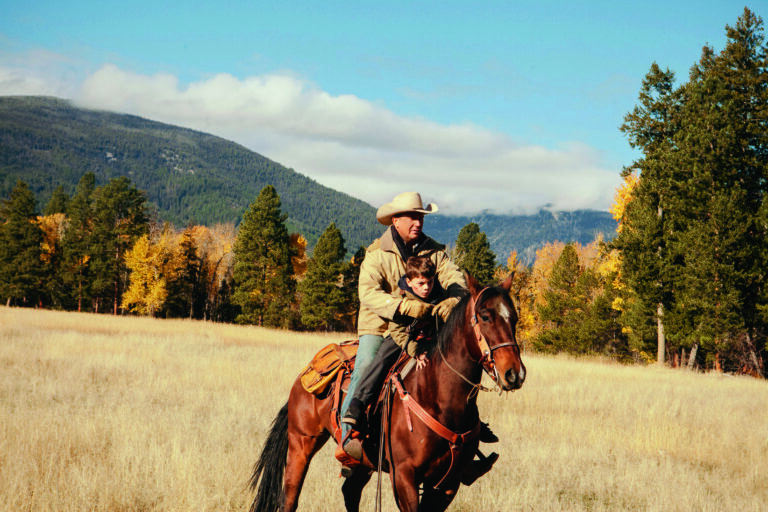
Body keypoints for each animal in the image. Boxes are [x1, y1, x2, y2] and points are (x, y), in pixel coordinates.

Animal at [249, 274, 524, 512]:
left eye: (515, 318)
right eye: (485, 316)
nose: (515, 374)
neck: (441, 400)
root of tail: (302, 377)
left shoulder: (447, 484)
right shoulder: (404, 476)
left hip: (362, 461)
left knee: (350, 492)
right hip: (301, 444)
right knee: (290, 498)